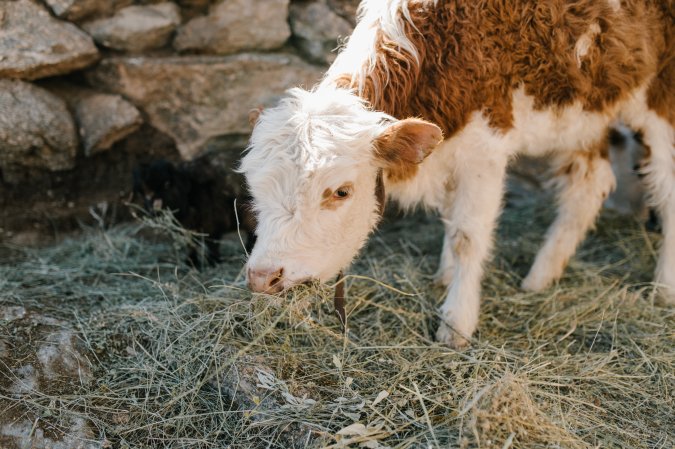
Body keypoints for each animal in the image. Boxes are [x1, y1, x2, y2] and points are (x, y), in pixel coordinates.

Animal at [243, 0, 675, 346]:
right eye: (255, 191)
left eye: (341, 192)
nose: (263, 276)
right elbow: (451, 219)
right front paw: (445, 275)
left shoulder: (484, 148)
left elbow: (468, 235)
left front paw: (456, 323)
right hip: (585, 109)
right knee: (591, 184)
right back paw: (540, 277)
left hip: (660, 97)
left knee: (666, 188)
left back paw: (664, 289)